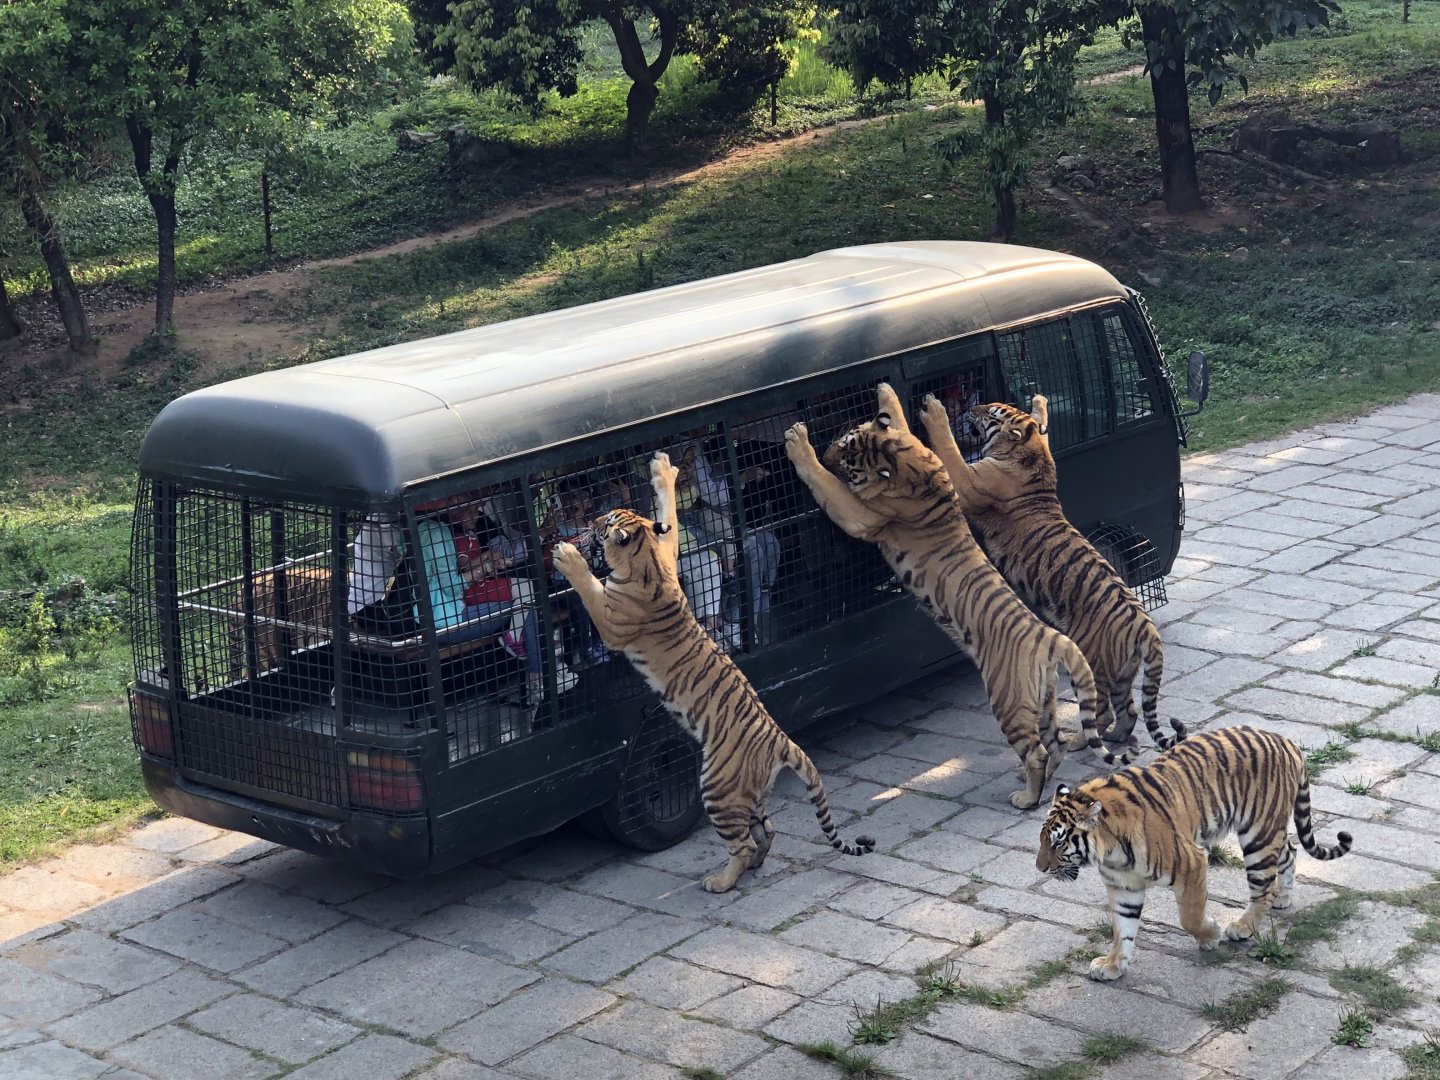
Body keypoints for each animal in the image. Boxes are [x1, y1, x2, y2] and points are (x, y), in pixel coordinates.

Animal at [551, 450, 875, 893]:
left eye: (607, 520)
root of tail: (783, 741)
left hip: (717, 787)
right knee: (766, 831)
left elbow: (588, 586)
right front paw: (663, 470)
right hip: (748, 796)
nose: (591, 520)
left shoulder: (612, 622)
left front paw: (568, 557)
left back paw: (721, 881)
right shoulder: (667, 548)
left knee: (742, 843)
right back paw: (755, 864)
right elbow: (668, 513)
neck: (645, 558)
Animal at [783, 383, 1134, 811]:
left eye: (848, 461)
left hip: (1007, 699)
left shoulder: (863, 516)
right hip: (1045, 700)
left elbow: (827, 487)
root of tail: (1051, 636)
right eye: (844, 438)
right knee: (1056, 743)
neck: (909, 464)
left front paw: (798, 444)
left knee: (1036, 750)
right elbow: (900, 417)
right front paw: (887, 393)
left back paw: (1026, 797)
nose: (827, 451)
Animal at [917, 394, 1184, 752]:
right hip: (1122, 672)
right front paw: (1039, 401)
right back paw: (1117, 737)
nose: (971, 408)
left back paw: (1077, 741)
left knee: (1099, 712)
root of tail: (1146, 627)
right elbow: (1042, 422)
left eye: (990, 413)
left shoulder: (970, 483)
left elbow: (949, 452)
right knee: (1127, 711)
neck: (1026, 451)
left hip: (1092, 662)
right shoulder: (1040, 443)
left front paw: (934, 413)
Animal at [1037, 725, 1353, 981]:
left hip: (1258, 836)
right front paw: (1113, 964)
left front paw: (1210, 936)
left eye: (1058, 842)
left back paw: (1243, 926)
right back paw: (1283, 897)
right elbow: (1122, 928)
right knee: (1290, 852)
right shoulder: (1123, 885)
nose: (1040, 868)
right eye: (1043, 840)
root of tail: (1286, 740)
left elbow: (1189, 916)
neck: (1111, 852)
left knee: (1263, 885)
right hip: (1269, 831)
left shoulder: (1192, 863)